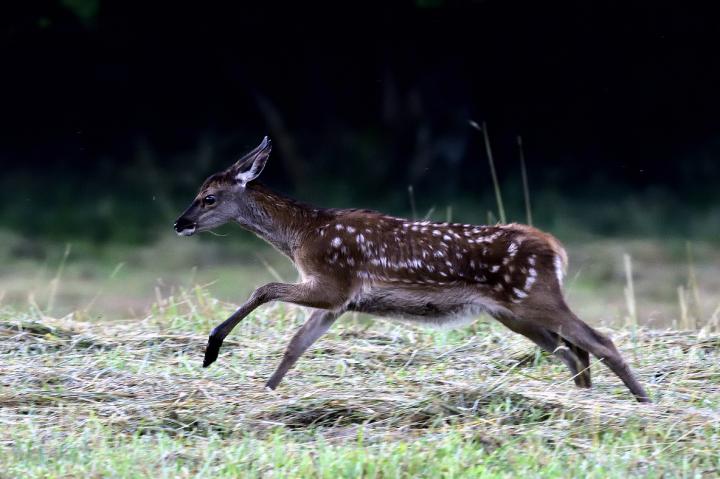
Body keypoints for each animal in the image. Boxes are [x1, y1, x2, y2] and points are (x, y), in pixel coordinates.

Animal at [176, 137, 652, 404]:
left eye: (209, 198)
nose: (180, 223)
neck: (302, 236)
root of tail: (555, 249)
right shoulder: (339, 302)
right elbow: (296, 346)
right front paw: (266, 392)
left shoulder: (333, 282)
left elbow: (264, 288)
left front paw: (212, 349)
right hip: (514, 312)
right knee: (572, 351)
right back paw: (584, 401)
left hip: (534, 295)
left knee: (598, 340)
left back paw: (643, 401)